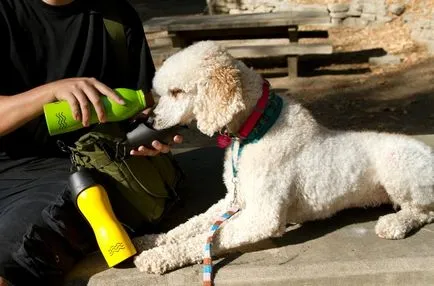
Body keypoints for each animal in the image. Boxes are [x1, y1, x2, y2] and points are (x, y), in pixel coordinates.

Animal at [134, 40, 432, 274]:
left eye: (176, 92)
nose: (148, 119)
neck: (256, 129)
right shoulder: (234, 199)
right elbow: (190, 225)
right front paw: (152, 241)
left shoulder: (263, 216)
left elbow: (207, 239)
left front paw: (156, 257)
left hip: (398, 167)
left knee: (423, 211)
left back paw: (395, 224)